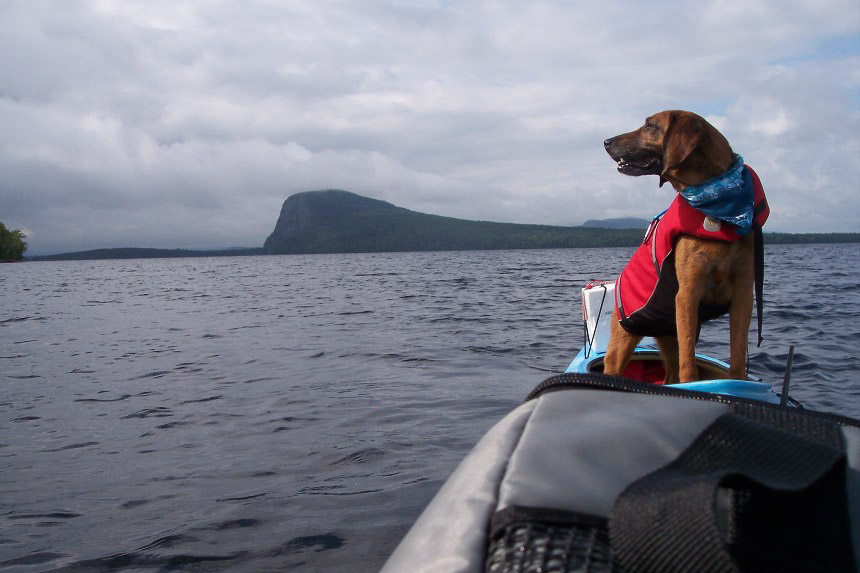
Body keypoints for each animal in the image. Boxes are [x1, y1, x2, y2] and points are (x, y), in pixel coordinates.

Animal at [600, 109, 768, 382]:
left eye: (649, 125)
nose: (606, 141)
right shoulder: (688, 293)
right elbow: (689, 366)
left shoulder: (743, 294)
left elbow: (737, 359)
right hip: (625, 336)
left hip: (669, 334)